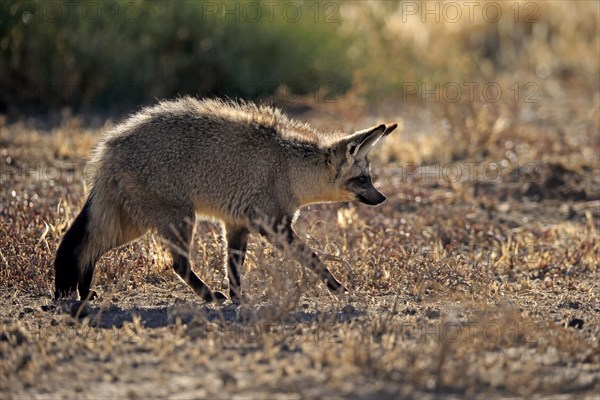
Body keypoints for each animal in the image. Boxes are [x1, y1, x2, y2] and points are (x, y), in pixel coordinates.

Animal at [54, 97, 396, 304]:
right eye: (363, 180)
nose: (382, 198)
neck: (289, 168)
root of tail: (109, 145)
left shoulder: (236, 225)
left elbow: (234, 269)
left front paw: (238, 299)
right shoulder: (271, 226)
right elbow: (312, 258)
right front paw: (337, 287)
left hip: (131, 226)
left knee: (86, 248)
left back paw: (81, 293)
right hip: (176, 221)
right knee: (177, 264)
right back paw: (207, 296)